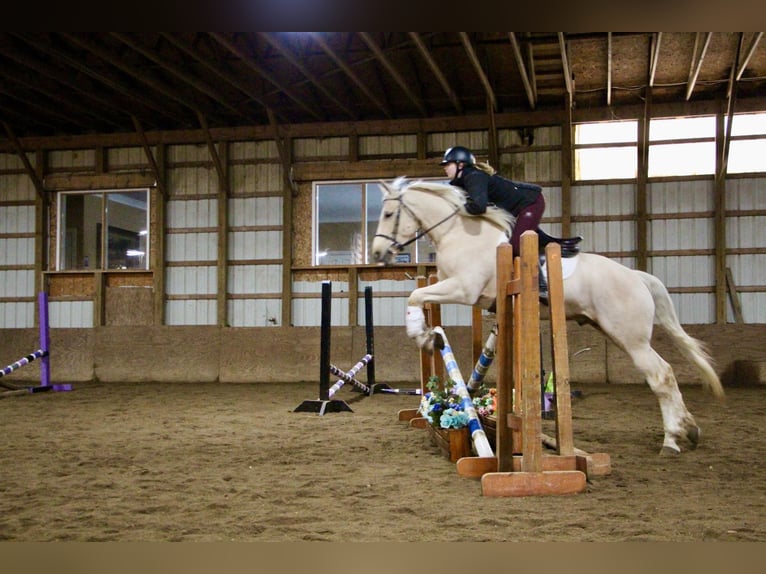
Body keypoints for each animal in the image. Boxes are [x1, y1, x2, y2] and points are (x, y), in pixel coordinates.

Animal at [372, 178, 728, 456]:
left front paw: (422, 335)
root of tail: (637, 277)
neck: (457, 232)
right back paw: (689, 431)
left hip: (631, 338)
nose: (377, 254)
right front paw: (429, 336)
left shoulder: (463, 289)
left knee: (661, 375)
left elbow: (416, 296)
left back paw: (672, 439)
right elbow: (421, 297)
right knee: (666, 373)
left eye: (388, 214)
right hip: (617, 332)